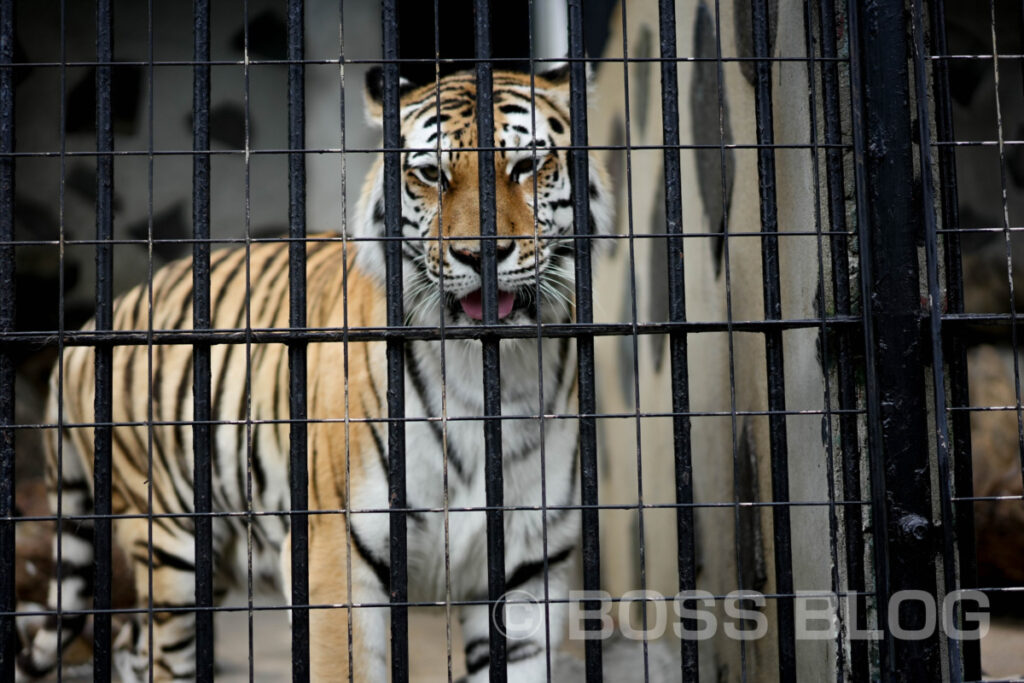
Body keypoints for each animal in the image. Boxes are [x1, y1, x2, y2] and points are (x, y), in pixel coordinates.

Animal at [16, 62, 610, 679]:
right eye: (431, 174)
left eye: (526, 166)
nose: (480, 254)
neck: (486, 375)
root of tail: (95, 324)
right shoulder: (340, 557)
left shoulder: (526, 570)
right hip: (171, 544)